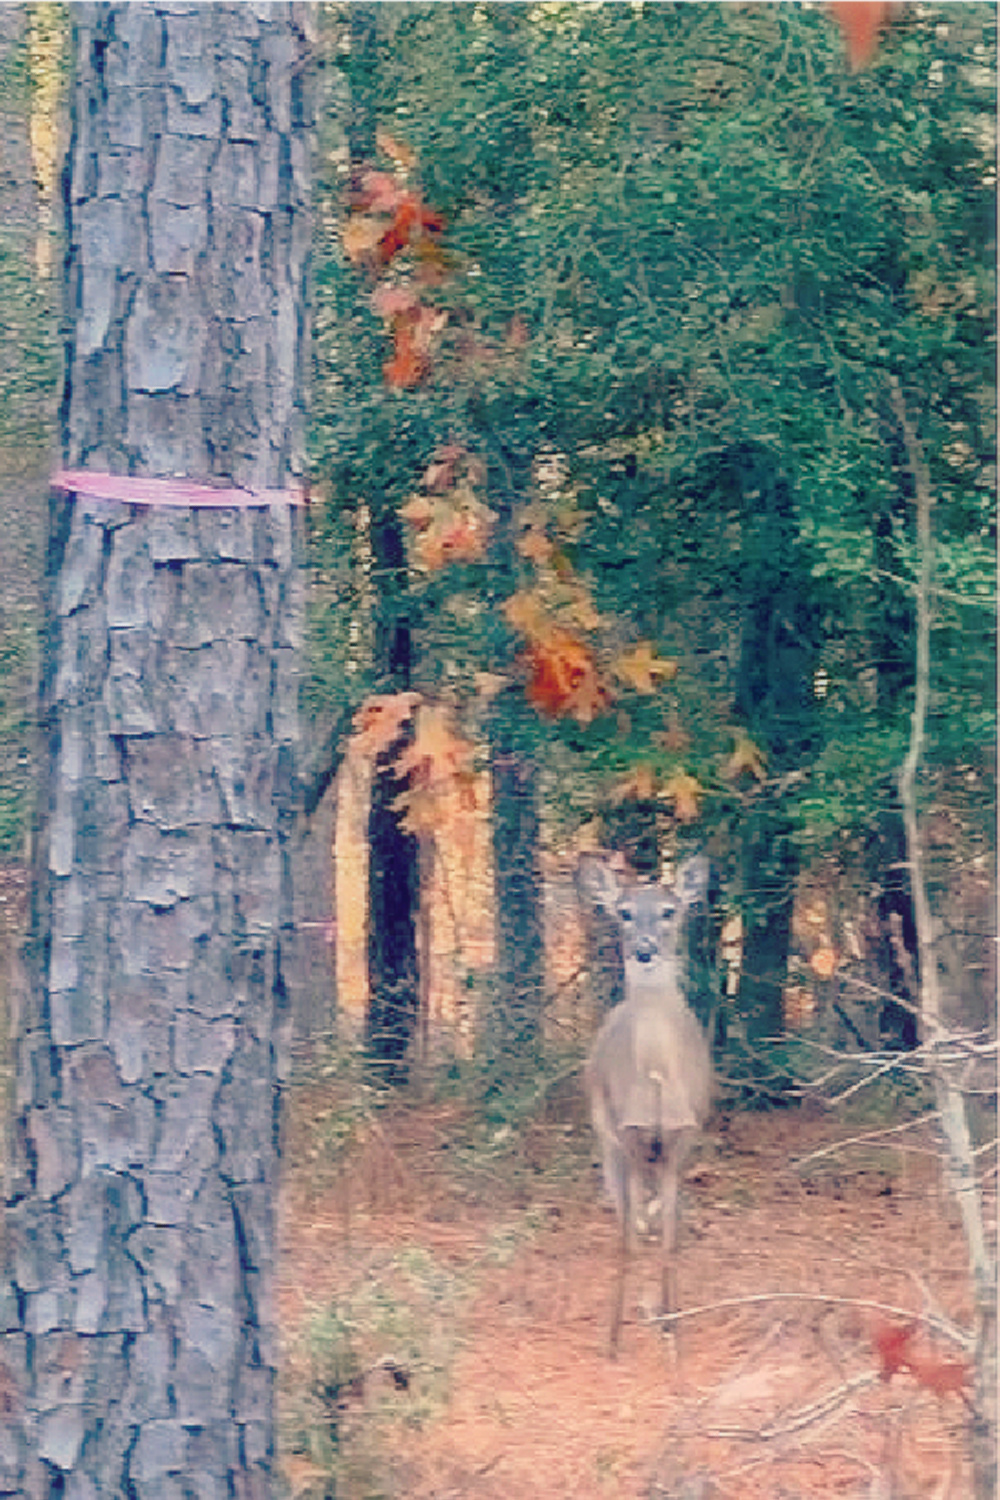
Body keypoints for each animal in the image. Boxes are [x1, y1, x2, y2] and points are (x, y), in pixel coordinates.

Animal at [581, 852, 716, 1356]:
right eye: (622, 912)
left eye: (669, 911)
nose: (643, 949)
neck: (657, 1075)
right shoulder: (629, 1134)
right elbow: (629, 1241)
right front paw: (614, 1340)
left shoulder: (682, 1136)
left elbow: (669, 1241)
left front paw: (674, 1328)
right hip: (606, 1134)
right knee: (628, 1218)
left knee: (653, 1219)